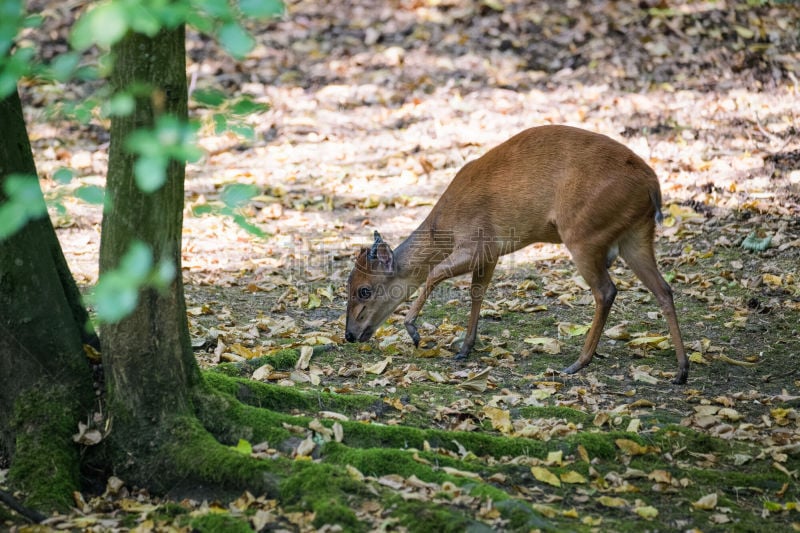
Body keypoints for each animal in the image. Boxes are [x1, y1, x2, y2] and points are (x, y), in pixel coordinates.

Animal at [344, 124, 688, 382]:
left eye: (364, 290)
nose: (349, 335)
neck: (444, 227)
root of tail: (652, 185)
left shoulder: (477, 242)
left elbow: (434, 273)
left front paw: (414, 332)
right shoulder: (492, 253)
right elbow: (477, 292)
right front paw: (464, 348)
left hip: (583, 234)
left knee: (606, 290)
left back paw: (578, 363)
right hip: (636, 235)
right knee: (664, 289)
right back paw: (681, 371)